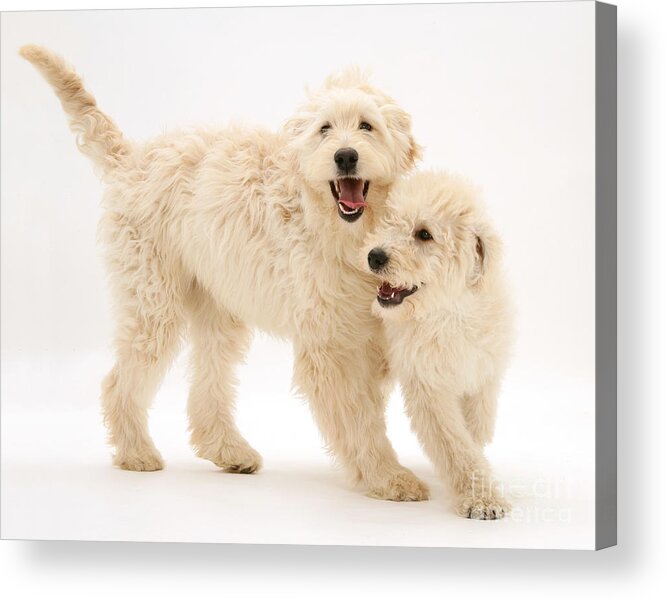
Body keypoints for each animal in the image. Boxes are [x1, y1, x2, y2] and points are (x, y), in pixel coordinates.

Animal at [22, 44, 426, 500]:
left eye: (366, 126)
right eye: (324, 129)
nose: (345, 156)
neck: (337, 227)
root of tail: (135, 159)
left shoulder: (370, 336)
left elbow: (369, 409)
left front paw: (380, 472)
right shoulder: (330, 343)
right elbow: (359, 418)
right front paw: (387, 477)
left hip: (218, 308)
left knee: (207, 385)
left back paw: (227, 450)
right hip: (153, 303)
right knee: (118, 382)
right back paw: (135, 452)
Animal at [364, 171, 512, 516]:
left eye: (424, 234)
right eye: (389, 221)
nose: (374, 256)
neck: (451, 312)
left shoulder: (483, 378)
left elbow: (474, 430)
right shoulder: (428, 386)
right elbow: (455, 443)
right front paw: (481, 497)